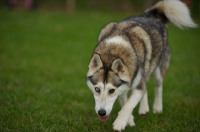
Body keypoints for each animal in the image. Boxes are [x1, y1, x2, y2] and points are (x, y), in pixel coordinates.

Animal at [85, 0, 196, 131]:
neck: (112, 52)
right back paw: (144, 108)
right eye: (97, 89)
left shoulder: (133, 86)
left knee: (158, 86)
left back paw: (157, 107)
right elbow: (125, 102)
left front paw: (120, 123)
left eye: (111, 90)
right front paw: (130, 120)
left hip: (157, 69)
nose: (101, 113)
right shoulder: (124, 86)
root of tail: (150, 15)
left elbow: (128, 105)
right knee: (145, 86)